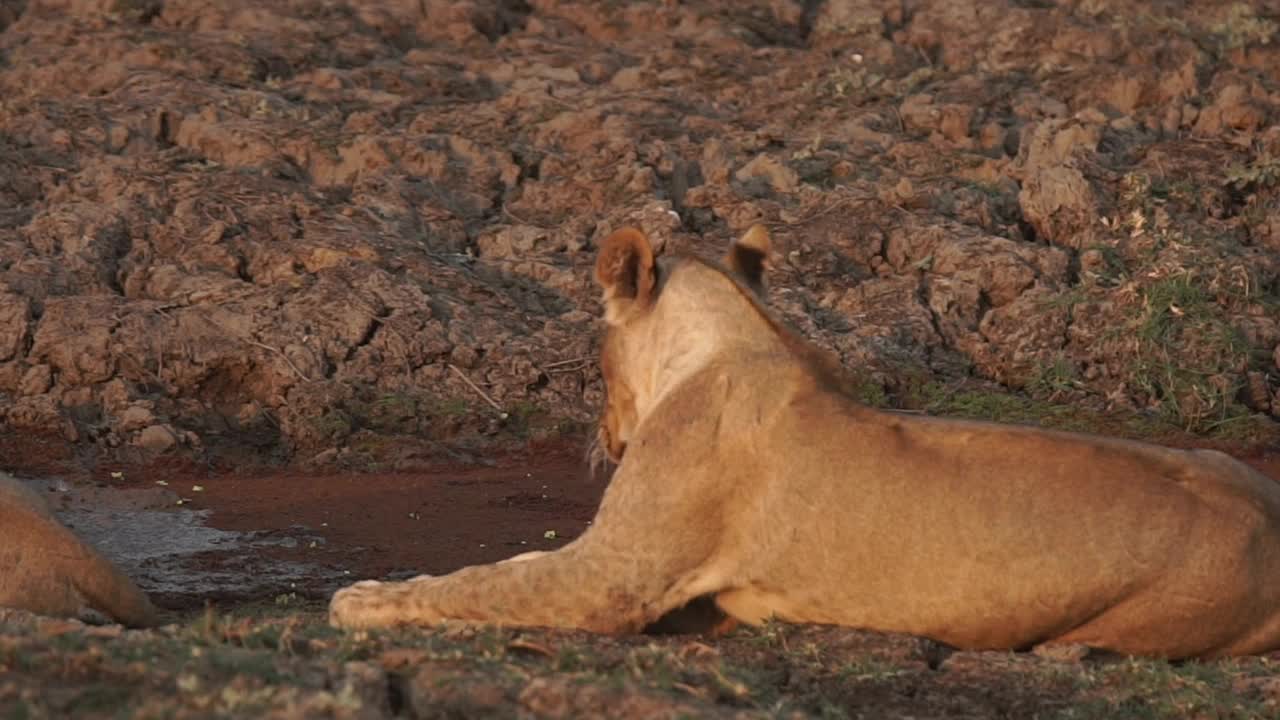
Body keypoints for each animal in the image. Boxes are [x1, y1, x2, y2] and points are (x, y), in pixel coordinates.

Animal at [325, 224, 1280, 655]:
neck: (735, 340)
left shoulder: (611, 583)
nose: (603, 434)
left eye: (593, 353)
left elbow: (485, 585)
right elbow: (506, 566)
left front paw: (359, 600)